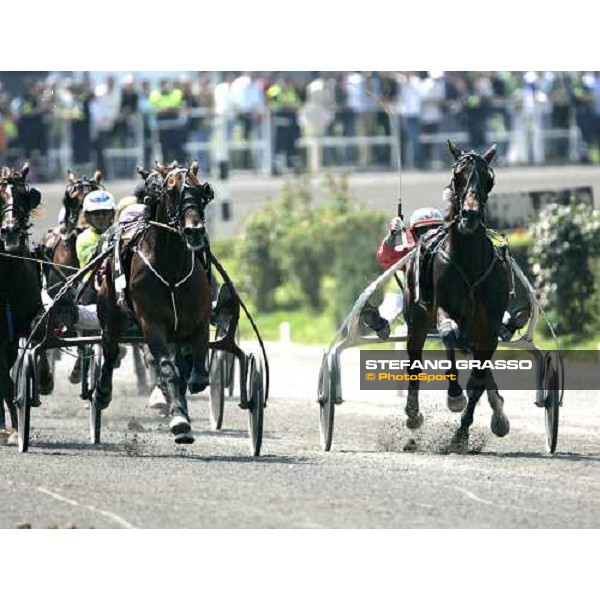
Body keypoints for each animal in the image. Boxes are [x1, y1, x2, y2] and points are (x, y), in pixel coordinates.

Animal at [96, 162, 213, 442]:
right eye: (171, 191)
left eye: (202, 190)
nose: (194, 230)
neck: (171, 270)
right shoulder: (152, 323)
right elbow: (167, 368)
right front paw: (179, 420)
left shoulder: (198, 320)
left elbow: (195, 371)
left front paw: (185, 398)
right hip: (110, 314)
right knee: (110, 349)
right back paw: (102, 393)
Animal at [404, 142, 510, 450]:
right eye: (458, 177)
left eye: (489, 179)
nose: (470, 216)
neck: (469, 261)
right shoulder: (443, 309)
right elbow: (448, 334)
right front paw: (454, 397)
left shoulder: (489, 328)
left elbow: (478, 379)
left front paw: (461, 434)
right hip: (416, 319)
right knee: (415, 359)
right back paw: (413, 414)